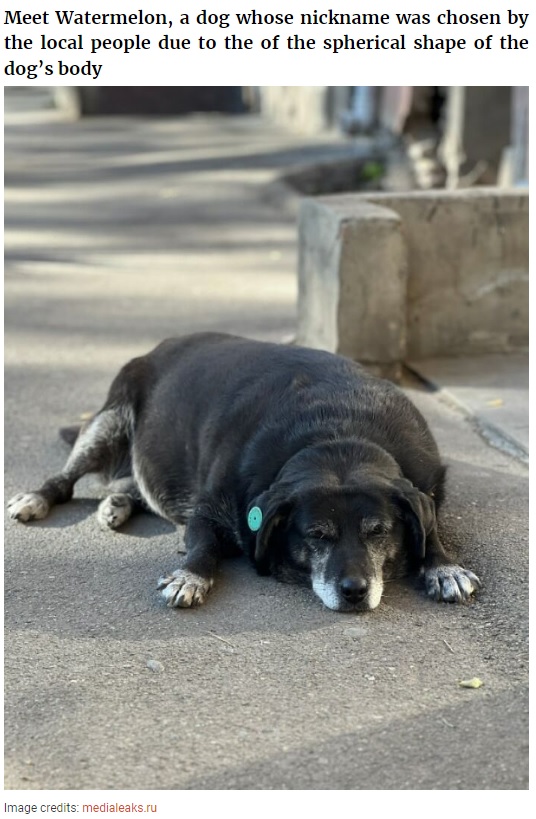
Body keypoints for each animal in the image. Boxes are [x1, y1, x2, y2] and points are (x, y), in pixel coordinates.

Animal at [7, 332, 482, 608]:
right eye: (316, 535)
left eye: (378, 531)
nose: (354, 592)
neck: (338, 432)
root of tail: (159, 347)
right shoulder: (206, 511)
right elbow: (204, 546)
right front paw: (190, 576)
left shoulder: (423, 487)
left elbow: (430, 526)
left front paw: (443, 566)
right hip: (108, 421)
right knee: (66, 480)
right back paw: (39, 497)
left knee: (134, 484)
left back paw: (117, 503)